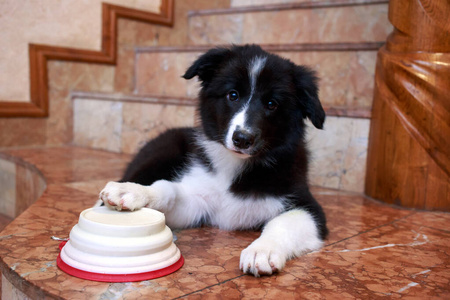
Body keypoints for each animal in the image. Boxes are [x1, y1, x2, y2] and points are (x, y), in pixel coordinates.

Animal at [100, 44, 328, 276]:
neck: (236, 166)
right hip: (162, 153)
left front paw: (262, 251)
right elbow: (169, 189)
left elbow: (284, 222)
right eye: (233, 95)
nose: (242, 139)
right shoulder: (199, 199)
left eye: (272, 104)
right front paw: (137, 192)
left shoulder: (306, 204)